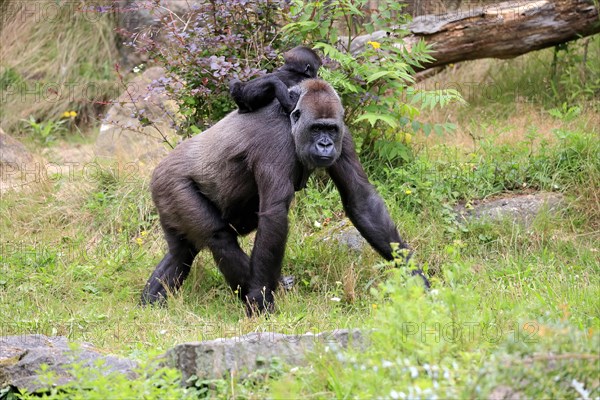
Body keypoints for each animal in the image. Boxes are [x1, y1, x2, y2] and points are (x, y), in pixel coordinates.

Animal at [143, 79, 428, 316]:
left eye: (330, 130)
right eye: (316, 129)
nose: (325, 145)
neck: (292, 121)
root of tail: (156, 173)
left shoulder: (344, 134)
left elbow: (360, 198)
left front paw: (415, 276)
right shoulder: (277, 144)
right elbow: (274, 215)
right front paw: (260, 301)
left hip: (167, 199)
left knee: (181, 252)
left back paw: (150, 302)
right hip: (172, 184)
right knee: (219, 239)